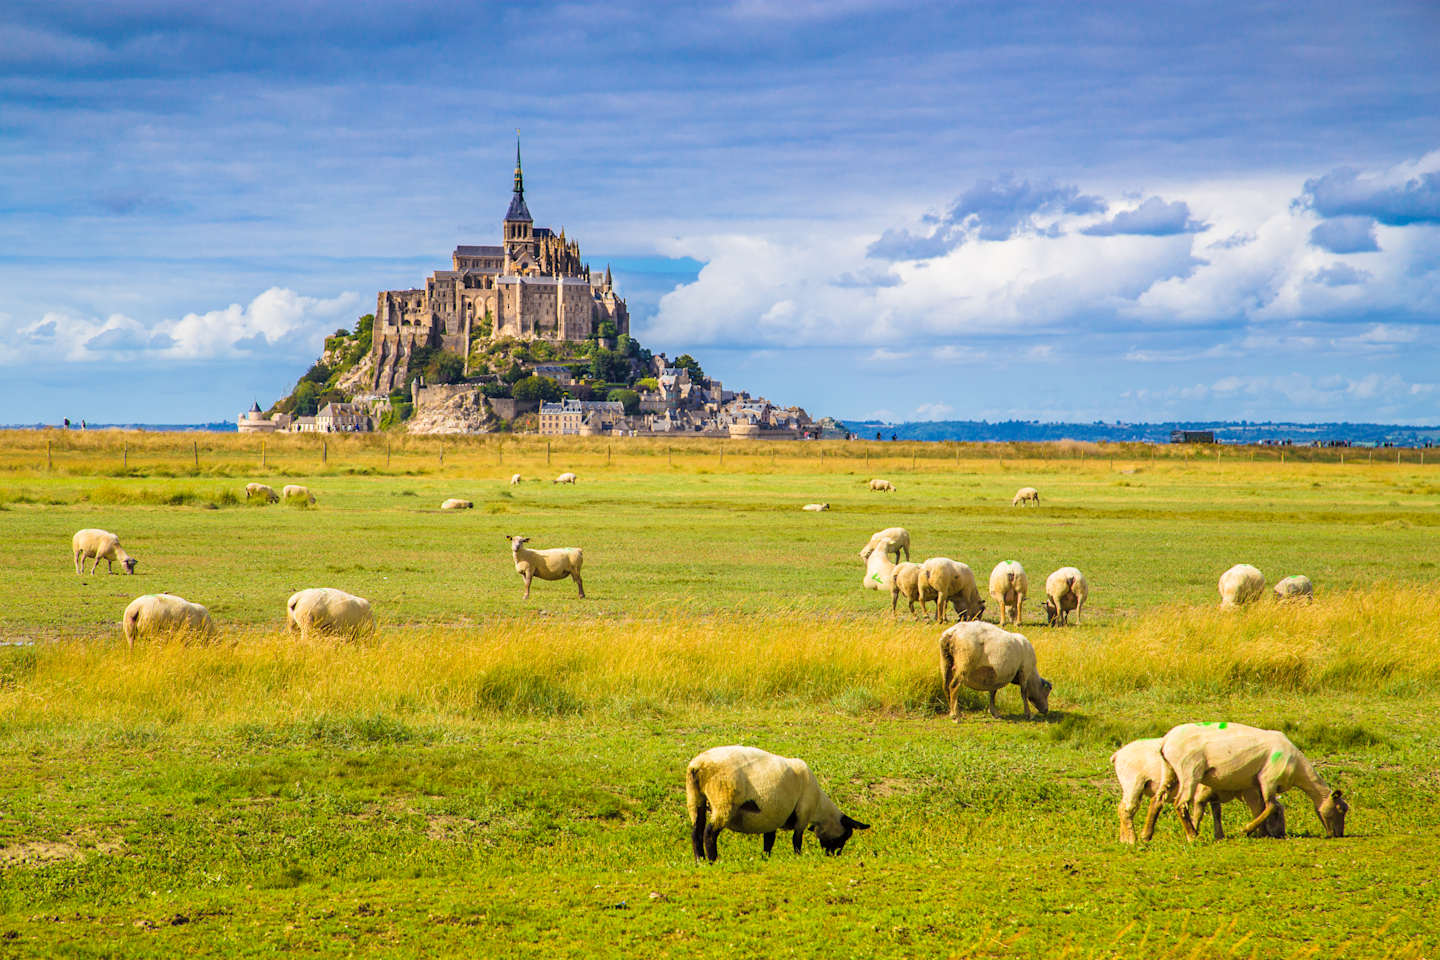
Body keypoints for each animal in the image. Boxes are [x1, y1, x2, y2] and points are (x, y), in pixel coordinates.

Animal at [685, 745, 869, 862]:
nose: (835, 855)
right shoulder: (802, 815)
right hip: (724, 801)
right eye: (845, 836)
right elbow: (797, 840)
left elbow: (769, 841)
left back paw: (700, 860)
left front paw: (765, 858)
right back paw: (713, 860)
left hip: (695, 797)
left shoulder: (772, 817)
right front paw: (798, 857)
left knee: (696, 831)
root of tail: (698, 765)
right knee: (710, 833)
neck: (819, 806)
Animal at [1111, 737, 1286, 844]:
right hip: (1133, 783)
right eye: (1277, 814)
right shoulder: (1200, 795)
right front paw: (1193, 833)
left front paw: (1219, 836)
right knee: (1127, 810)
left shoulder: (1214, 795)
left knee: (1122, 808)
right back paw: (1132, 839)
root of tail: (1118, 754)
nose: (1282, 835)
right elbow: (1198, 814)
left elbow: (1217, 813)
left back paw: (1124, 839)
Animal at [1145, 722, 1347, 842]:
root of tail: (1166, 741)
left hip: (1169, 770)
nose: (1338, 835)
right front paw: (1246, 830)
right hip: (1189, 770)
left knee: (1157, 799)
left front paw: (1260, 833)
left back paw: (1146, 835)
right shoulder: (1268, 779)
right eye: (1340, 809)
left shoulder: (1252, 786)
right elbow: (1271, 806)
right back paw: (1192, 835)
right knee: (1180, 803)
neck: (1299, 769)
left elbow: (1259, 808)